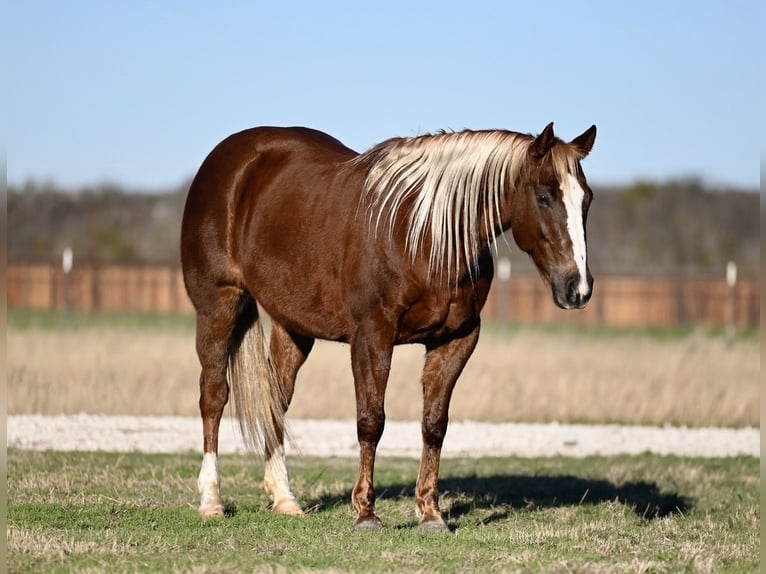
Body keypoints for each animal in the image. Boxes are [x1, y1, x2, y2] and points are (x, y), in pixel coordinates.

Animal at [182, 121, 600, 532]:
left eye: (587, 200)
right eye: (544, 197)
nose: (577, 288)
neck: (427, 236)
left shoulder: (457, 339)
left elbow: (434, 424)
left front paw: (431, 514)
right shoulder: (372, 337)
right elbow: (371, 421)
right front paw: (366, 513)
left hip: (293, 327)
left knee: (275, 401)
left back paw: (285, 499)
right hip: (219, 306)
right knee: (213, 396)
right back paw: (211, 502)